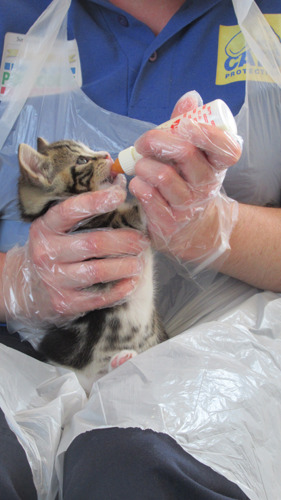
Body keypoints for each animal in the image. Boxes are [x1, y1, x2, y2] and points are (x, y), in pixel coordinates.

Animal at [17, 139, 166, 392]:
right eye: (82, 160)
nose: (107, 154)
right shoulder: (117, 226)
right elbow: (138, 210)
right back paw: (120, 362)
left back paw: (122, 360)